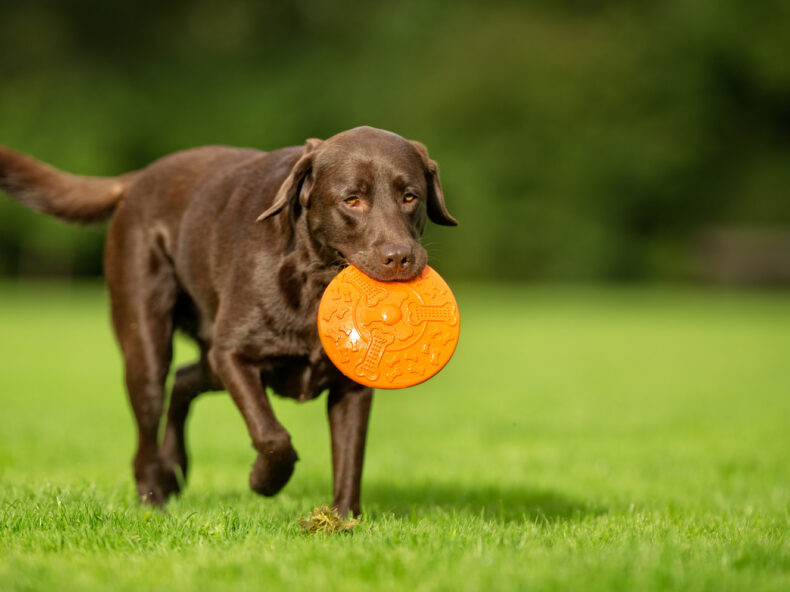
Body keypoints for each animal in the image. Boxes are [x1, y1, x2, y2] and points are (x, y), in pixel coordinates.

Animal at [0, 127, 458, 516]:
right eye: (352, 200)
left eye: (410, 196)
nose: (399, 257)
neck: (313, 280)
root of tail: (138, 179)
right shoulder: (234, 355)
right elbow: (272, 436)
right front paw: (263, 481)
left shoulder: (352, 386)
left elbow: (350, 457)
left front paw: (343, 521)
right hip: (148, 342)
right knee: (150, 417)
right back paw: (153, 498)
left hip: (207, 360)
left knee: (184, 380)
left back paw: (175, 468)